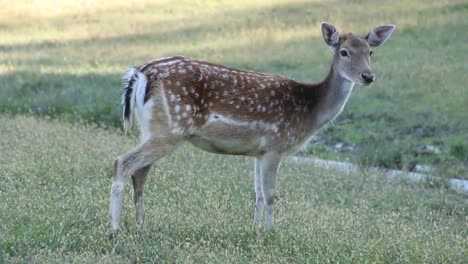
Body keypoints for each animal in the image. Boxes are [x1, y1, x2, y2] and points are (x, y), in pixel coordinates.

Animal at [109, 21, 394, 234]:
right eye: (344, 52)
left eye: (370, 52)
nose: (368, 76)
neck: (309, 111)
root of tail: (140, 74)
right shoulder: (276, 145)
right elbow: (270, 194)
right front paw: (271, 233)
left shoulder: (259, 151)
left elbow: (257, 193)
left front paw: (255, 231)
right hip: (170, 128)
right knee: (123, 162)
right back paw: (114, 229)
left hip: (152, 128)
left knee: (140, 173)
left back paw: (141, 225)